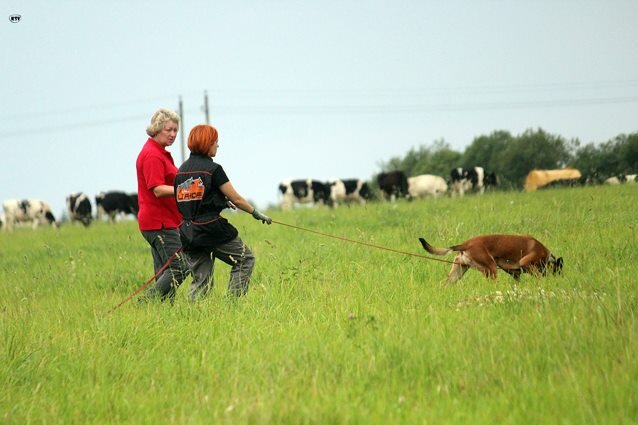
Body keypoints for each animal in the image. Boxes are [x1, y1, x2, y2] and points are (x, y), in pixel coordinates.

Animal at [420, 234, 564, 284]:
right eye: (559, 272)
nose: (560, 281)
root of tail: (466, 244)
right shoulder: (526, 263)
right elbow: (539, 276)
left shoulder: (515, 274)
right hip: (492, 269)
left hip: (457, 272)